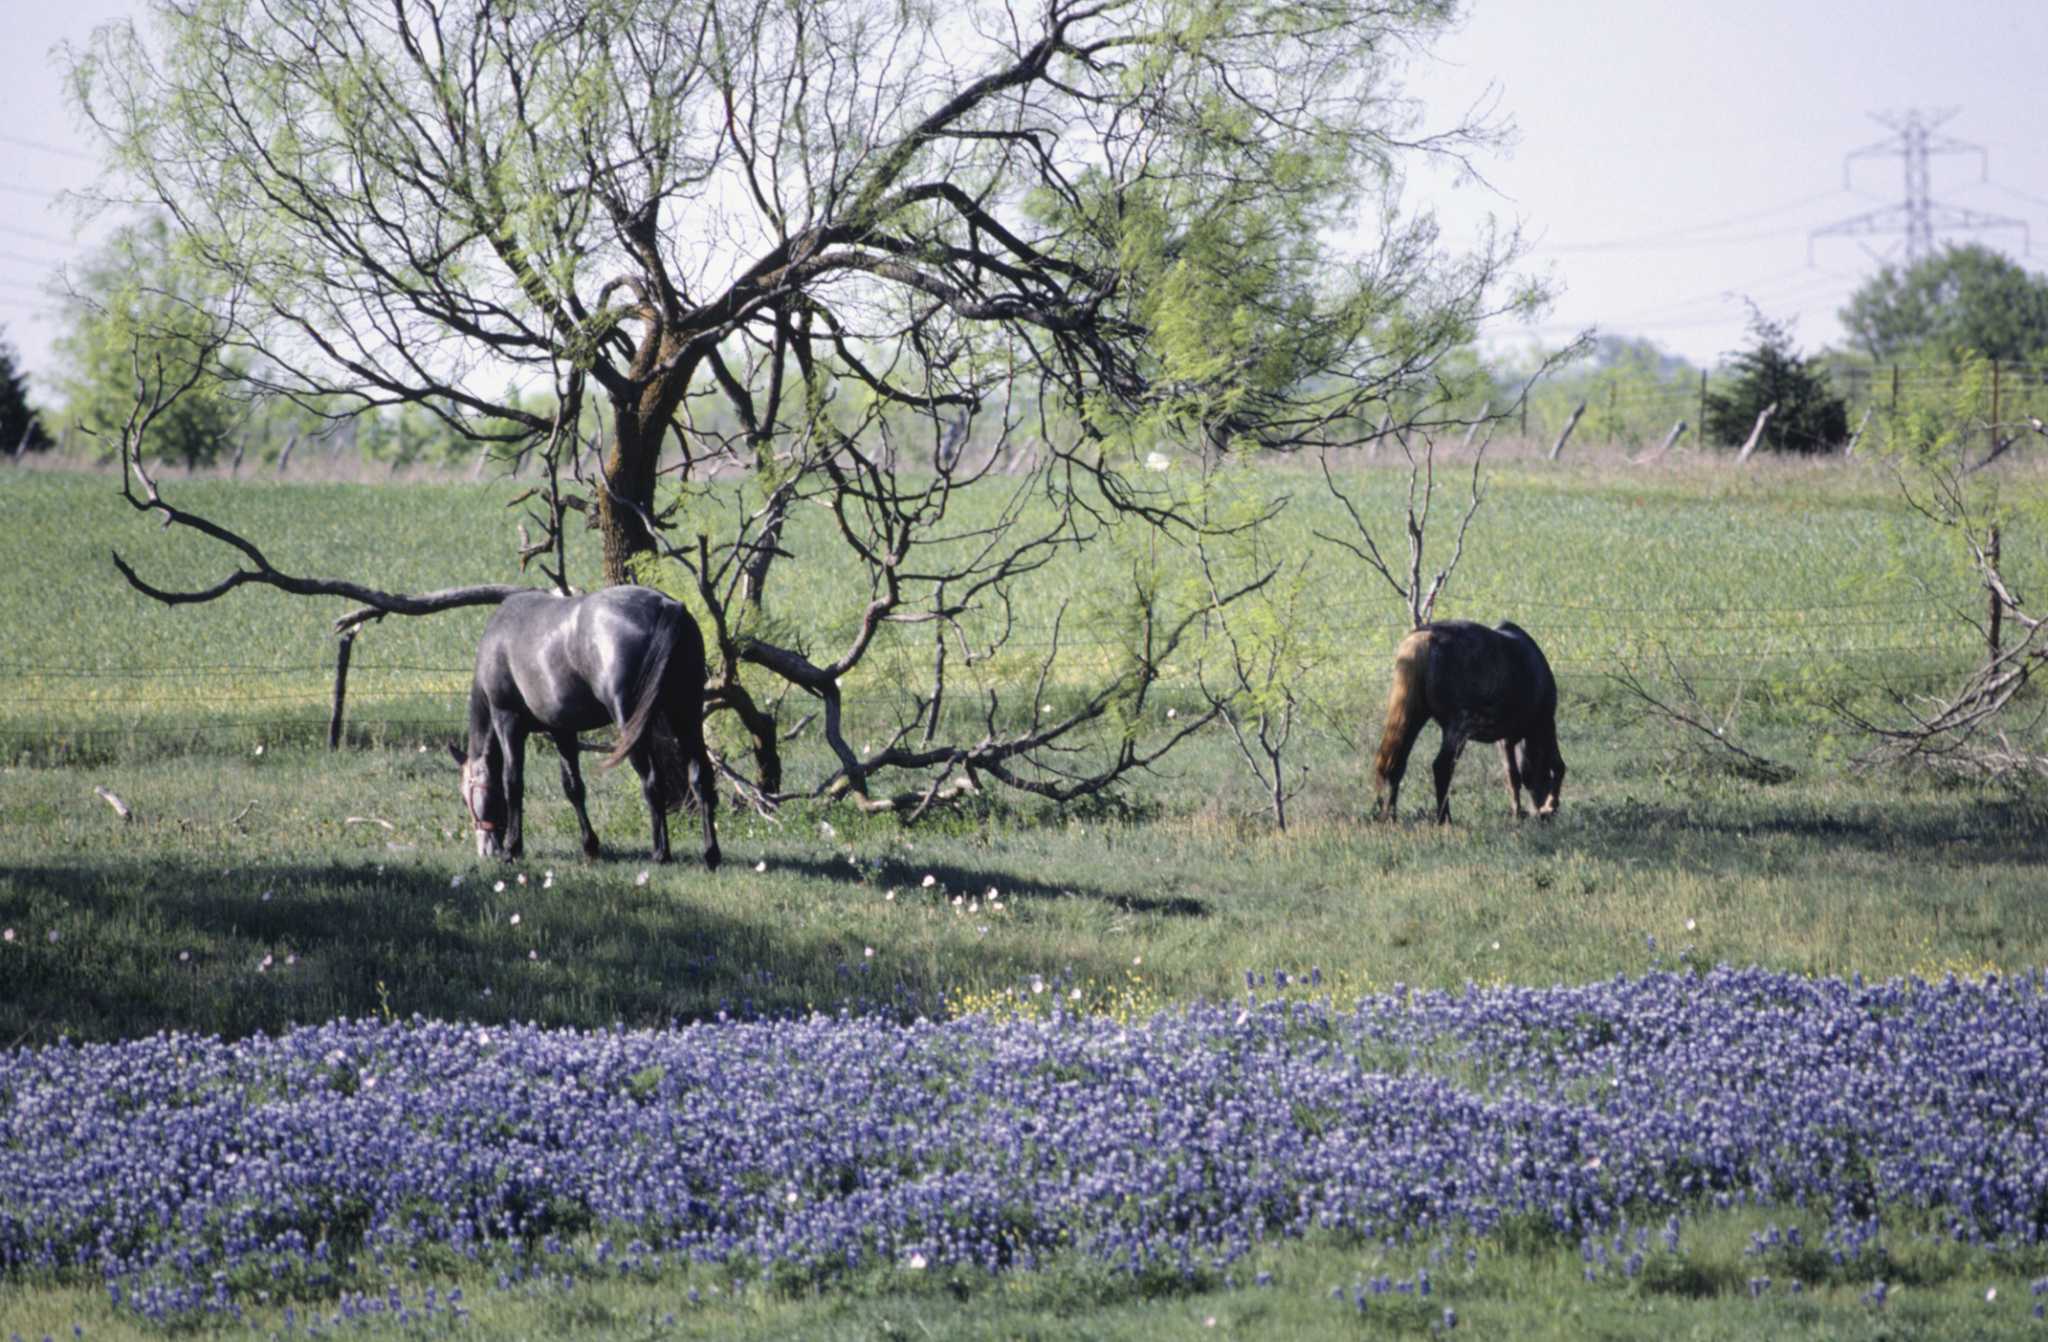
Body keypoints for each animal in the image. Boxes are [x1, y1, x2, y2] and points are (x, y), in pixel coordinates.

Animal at [452, 590, 724, 872]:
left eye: (465, 797)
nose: (486, 850)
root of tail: (666, 605)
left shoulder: (507, 720)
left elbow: (513, 782)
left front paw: (512, 848)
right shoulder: (562, 731)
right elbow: (573, 787)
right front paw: (590, 846)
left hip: (632, 725)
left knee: (652, 782)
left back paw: (661, 853)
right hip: (686, 716)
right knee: (700, 778)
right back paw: (711, 855)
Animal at [1376, 622, 1564, 827]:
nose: (1544, 815)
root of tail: (1424, 639)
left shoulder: (1505, 740)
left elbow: (1513, 775)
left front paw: (1517, 813)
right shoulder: (1546, 724)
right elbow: (1558, 766)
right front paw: (1548, 805)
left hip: (1413, 718)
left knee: (1396, 764)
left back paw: (1390, 816)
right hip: (1458, 728)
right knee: (1441, 767)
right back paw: (1445, 819)